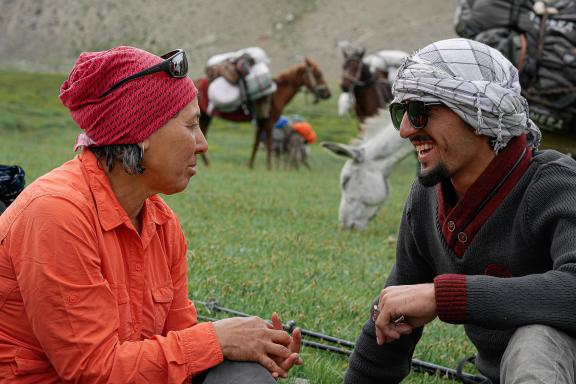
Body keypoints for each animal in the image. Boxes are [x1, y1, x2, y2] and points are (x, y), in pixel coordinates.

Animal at [195, 57, 328, 169]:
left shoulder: (261, 123)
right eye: (318, 74)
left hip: (206, 117)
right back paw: (206, 164)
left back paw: (206, 163)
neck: (276, 94)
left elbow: (256, 143)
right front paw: (269, 168)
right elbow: (268, 144)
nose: (327, 93)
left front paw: (250, 165)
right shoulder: (269, 122)